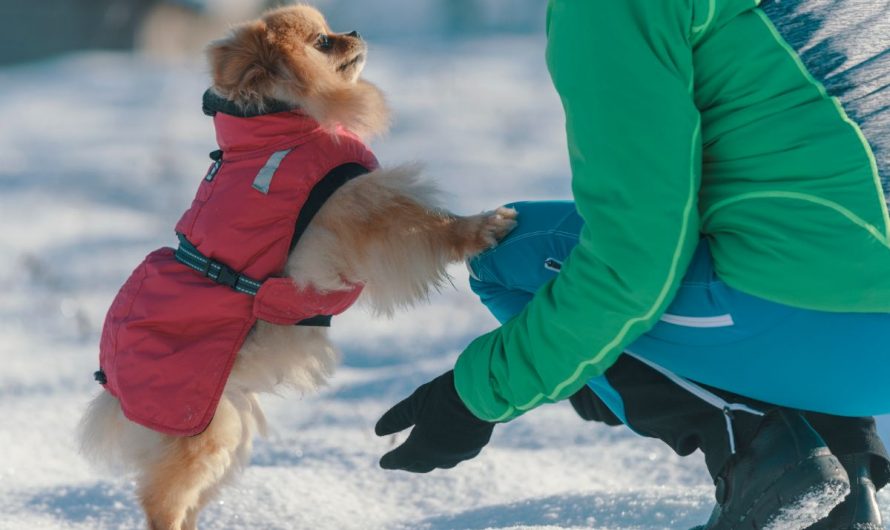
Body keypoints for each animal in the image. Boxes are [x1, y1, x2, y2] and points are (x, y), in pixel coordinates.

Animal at [80, 5, 516, 528]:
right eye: (323, 41)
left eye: (332, 30)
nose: (355, 31)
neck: (284, 121)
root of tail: (111, 388)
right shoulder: (366, 207)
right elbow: (432, 224)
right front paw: (482, 227)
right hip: (200, 427)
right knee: (163, 499)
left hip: (230, 422)